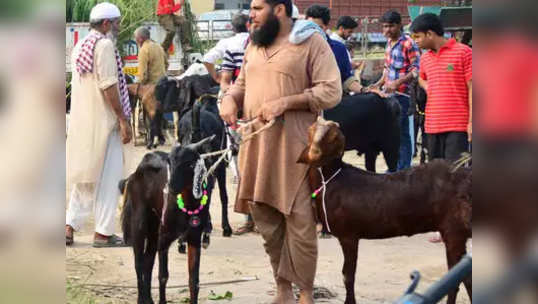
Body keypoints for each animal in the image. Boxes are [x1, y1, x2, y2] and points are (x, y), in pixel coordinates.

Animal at [298, 117, 468, 304]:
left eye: (334, 137)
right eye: (311, 130)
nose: (314, 152)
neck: (331, 179)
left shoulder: (349, 235)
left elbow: (347, 275)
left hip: (454, 229)